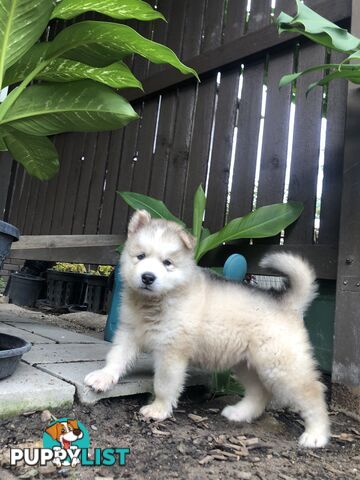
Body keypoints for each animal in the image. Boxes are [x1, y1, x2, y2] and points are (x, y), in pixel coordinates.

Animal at [84, 210, 330, 446]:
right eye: (141, 256)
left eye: (167, 263)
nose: (147, 277)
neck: (154, 303)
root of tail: (287, 304)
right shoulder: (129, 332)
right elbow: (116, 357)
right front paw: (103, 377)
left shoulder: (171, 352)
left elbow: (163, 384)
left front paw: (158, 409)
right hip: (245, 363)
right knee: (260, 392)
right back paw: (240, 413)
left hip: (281, 366)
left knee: (314, 392)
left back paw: (316, 434)